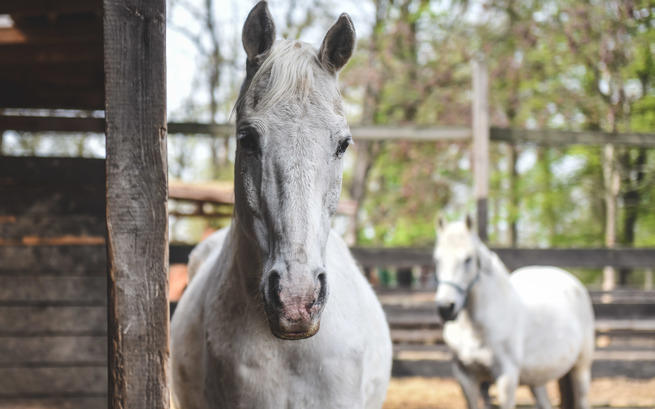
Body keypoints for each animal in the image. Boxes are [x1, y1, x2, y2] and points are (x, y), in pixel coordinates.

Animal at [436, 217, 596, 408]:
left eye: (468, 259)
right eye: (437, 259)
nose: (446, 307)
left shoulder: (507, 376)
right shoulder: (465, 377)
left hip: (580, 369)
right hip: (537, 378)